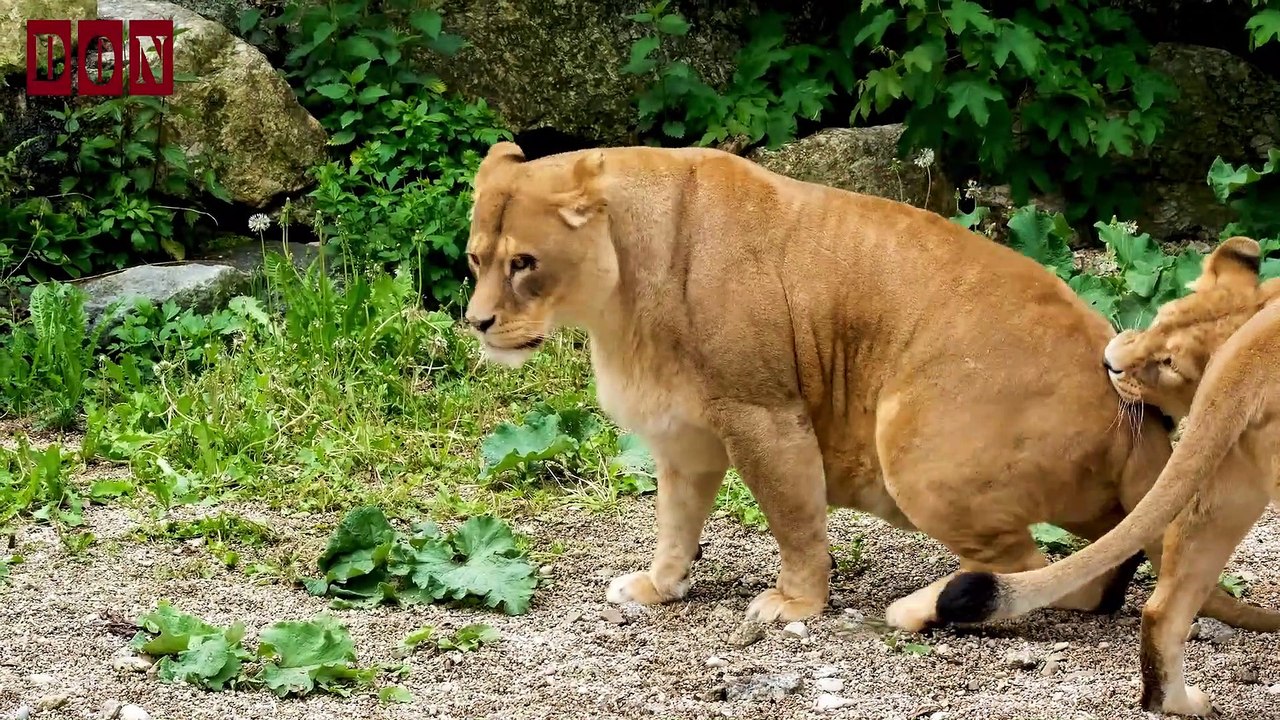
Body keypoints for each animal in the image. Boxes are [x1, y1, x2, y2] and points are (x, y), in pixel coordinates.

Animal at [462, 141, 1277, 632]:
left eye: (525, 263)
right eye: (476, 258)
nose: (476, 322)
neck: (617, 298)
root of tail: (1133, 407)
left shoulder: (764, 415)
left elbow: (794, 519)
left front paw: (794, 605)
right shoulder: (684, 438)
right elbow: (675, 522)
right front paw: (659, 588)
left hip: (915, 450)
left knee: (1043, 573)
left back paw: (920, 609)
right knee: (1105, 563)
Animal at [934, 236, 1280, 716]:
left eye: (1170, 365)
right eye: (1159, 318)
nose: (1110, 363)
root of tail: (1253, 355)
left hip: (1222, 490)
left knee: (1161, 611)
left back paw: (1179, 703)